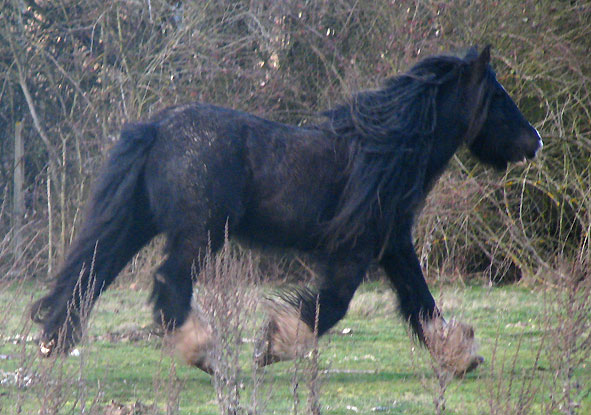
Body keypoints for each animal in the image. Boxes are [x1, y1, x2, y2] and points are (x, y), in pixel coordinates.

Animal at [31, 46, 540, 376]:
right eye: (497, 96)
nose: (533, 141)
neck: (383, 151)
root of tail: (157, 128)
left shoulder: (393, 245)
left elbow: (421, 302)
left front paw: (461, 356)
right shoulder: (357, 249)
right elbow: (332, 305)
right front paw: (272, 346)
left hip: (138, 222)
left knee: (89, 274)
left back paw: (53, 342)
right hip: (201, 233)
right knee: (168, 281)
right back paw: (206, 355)